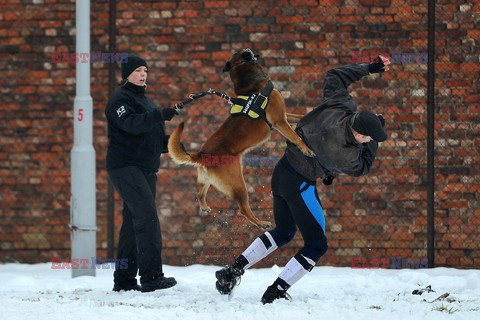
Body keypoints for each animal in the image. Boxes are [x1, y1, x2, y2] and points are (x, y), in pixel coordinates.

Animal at [168, 47, 316, 229]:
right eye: (243, 52)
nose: (249, 49)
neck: (253, 87)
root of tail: (201, 155)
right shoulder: (279, 121)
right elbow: (295, 137)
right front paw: (306, 149)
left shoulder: (284, 116)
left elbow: (299, 115)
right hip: (238, 184)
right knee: (243, 209)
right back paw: (260, 223)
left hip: (207, 180)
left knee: (200, 193)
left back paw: (204, 207)